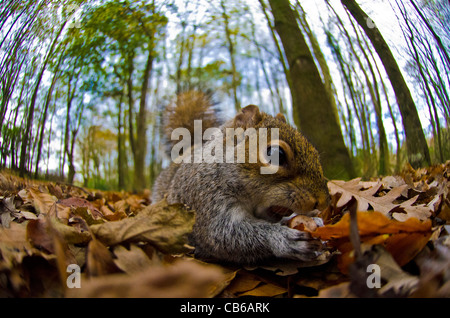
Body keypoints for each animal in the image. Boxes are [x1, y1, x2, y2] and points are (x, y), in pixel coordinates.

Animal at [154, 90, 330, 264]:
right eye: (276, 155)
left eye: (315, 151)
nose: (323, 202)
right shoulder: (206, 199)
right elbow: (223, 235)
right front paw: (284, 238)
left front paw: (314, 220)